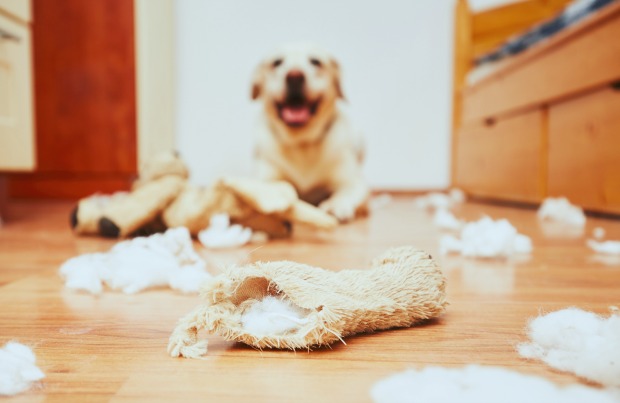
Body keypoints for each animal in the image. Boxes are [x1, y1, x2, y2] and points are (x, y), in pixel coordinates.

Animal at [251, 42, 368, 223]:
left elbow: (345, 193)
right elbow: (269, 187)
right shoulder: (266, 177)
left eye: (315, 61)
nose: (294, 76)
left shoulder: (352, 182)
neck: (302, 144)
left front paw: (335, 205)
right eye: (277, 62)